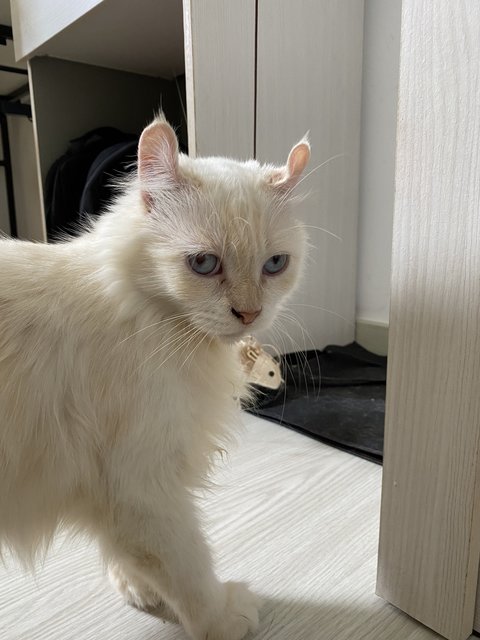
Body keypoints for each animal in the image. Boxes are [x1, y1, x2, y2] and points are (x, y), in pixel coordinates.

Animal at [0, 116, 308, 640]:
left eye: (274, 265)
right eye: (203, 263)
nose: (249, 314)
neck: (137, 314)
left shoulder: (117, 494)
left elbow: (124, 551)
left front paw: (136, 589)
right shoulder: (143, 487)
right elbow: (188, 565)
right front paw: (221, 617)